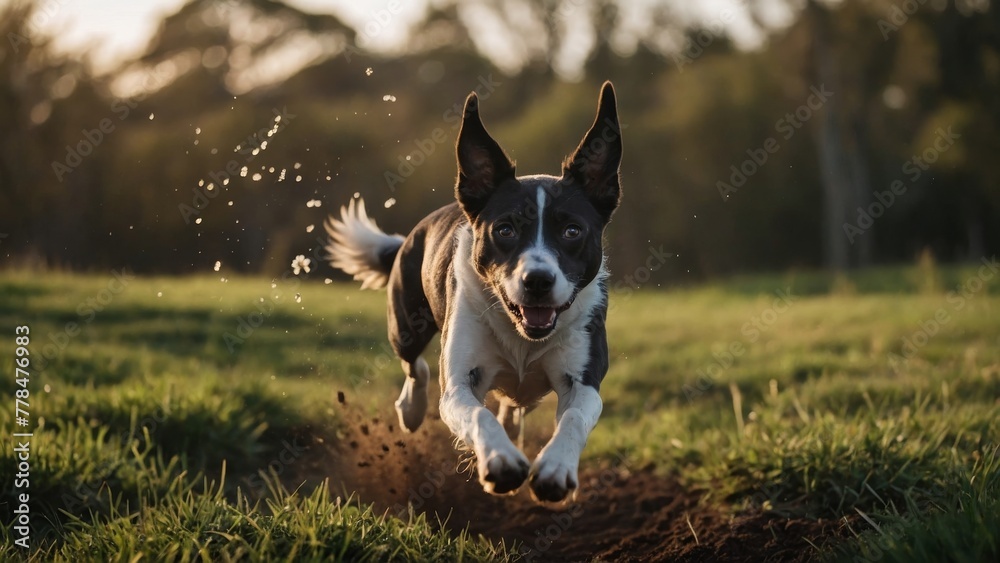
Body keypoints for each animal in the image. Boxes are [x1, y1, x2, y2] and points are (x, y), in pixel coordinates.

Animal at [328, 81, 620, 504]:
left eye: (572, 231)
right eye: (505, 229)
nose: (537, 280)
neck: (522, 335)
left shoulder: (582, 380)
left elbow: (574, 419)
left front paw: (555, 467)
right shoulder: (460, 382)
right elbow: (476, 412)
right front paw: (501, 460)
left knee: (512, 403)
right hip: (406, 325)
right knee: (415, 367)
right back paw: (412, 410)